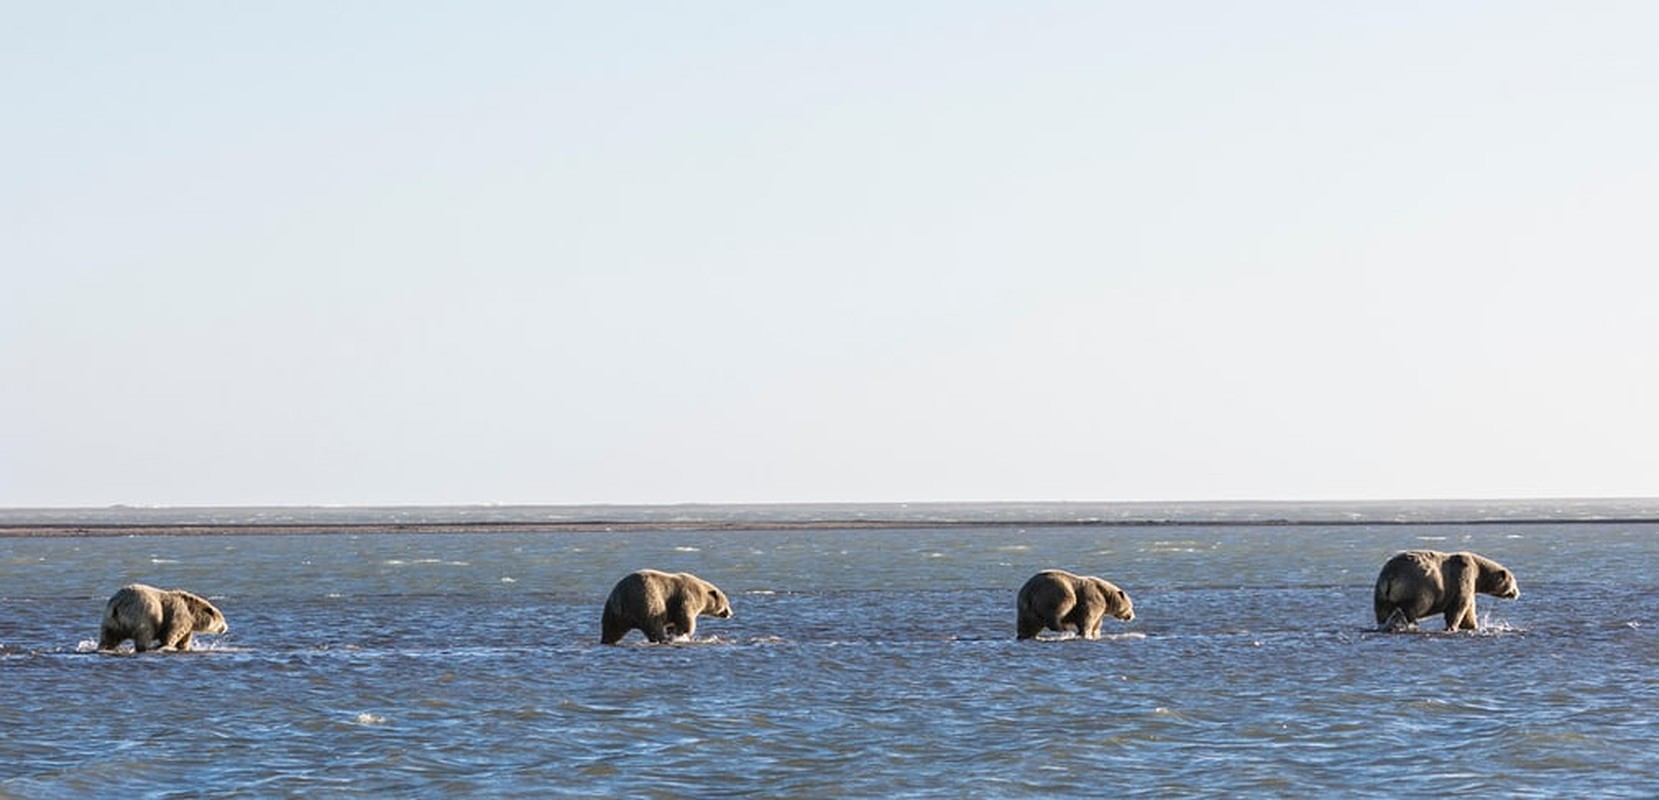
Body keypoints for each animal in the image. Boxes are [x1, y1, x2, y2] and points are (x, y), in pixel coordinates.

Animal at [97, 584, 227, 653]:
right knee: (144, 633)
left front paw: (183, 647)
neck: (191, 612)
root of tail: (118, 604)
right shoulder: (179, 615)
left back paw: (104, 647)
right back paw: (147, 648)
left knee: (108, 637)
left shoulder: (188, 624)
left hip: (110, 619)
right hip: (144, 613)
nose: (226, 628)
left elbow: (184, 639)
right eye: (223, 619)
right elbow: (173, 633)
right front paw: (167, 646)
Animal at [597, 567, 726, 643]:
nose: (729, 613)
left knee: (611, 629)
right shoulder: (687, 597)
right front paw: (683, 634)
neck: (702, 593)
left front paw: (674, 632)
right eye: (726, 603)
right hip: (646, 599)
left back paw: (607, 640)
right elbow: (685, 618)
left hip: (613, 612)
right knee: (654, 624)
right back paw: (663, 639)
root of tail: (619, 597)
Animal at [1373, 551, 1519, 630]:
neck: (1478, 571)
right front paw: (1452, 627)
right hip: (1416, 586)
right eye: (1514, 582)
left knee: (1382, 610)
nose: (1517, 593)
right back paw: (1412, 623)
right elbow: (1459, 605)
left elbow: (1469, 609)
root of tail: (1391, 576)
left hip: (1381, 591)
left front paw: (1472, 626)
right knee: (1413, 607)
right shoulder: (1462, 576)